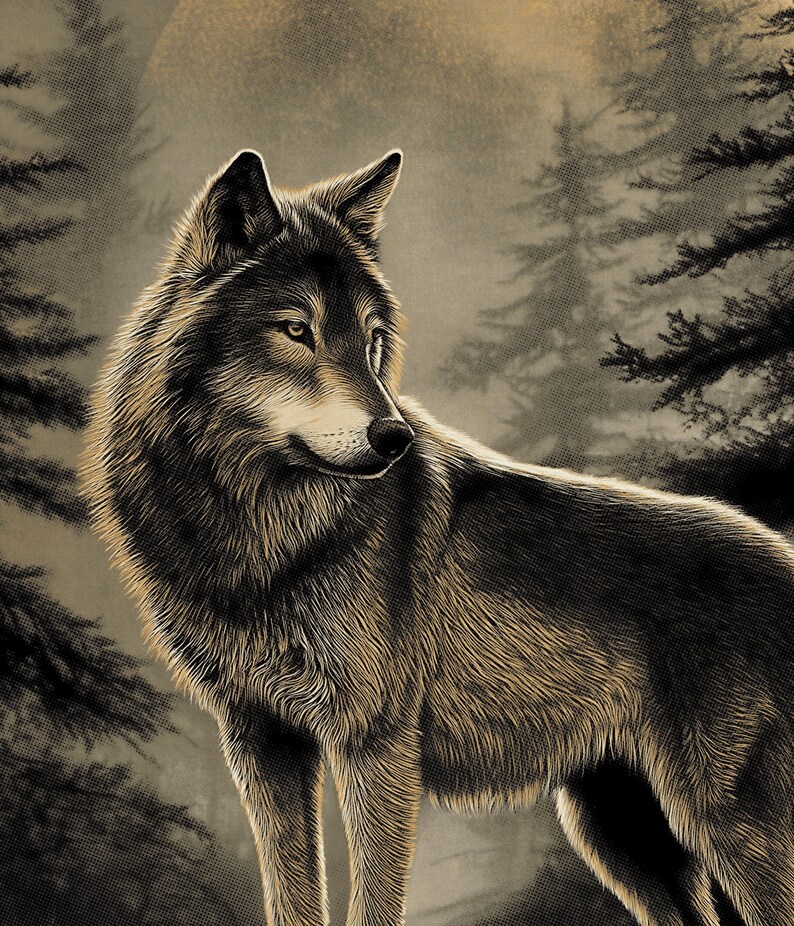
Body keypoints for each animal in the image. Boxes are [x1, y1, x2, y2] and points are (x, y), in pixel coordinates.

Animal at [81, 148, 794, 926]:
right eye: (297, 330)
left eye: (370, 341)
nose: (393, 437)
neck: (263, 534)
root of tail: (785, 557)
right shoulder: (261, 742)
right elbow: (292, 899)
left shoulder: (377, 746)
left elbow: (371, 903)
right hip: (619, 835)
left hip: (725, 827)